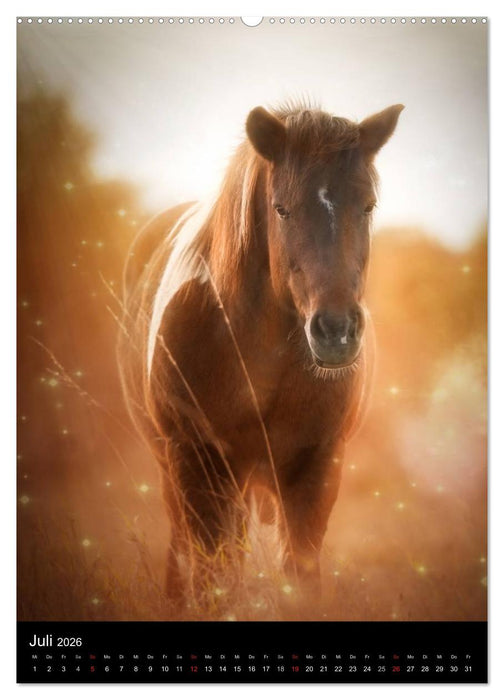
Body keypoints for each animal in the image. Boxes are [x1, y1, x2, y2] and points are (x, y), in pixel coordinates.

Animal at [117, 101, 403, 605]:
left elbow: (301, 575)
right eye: (281, 209)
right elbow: (212, 578)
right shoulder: (196, 460)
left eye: (367, 206)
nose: (336, 332)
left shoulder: (315, 463)